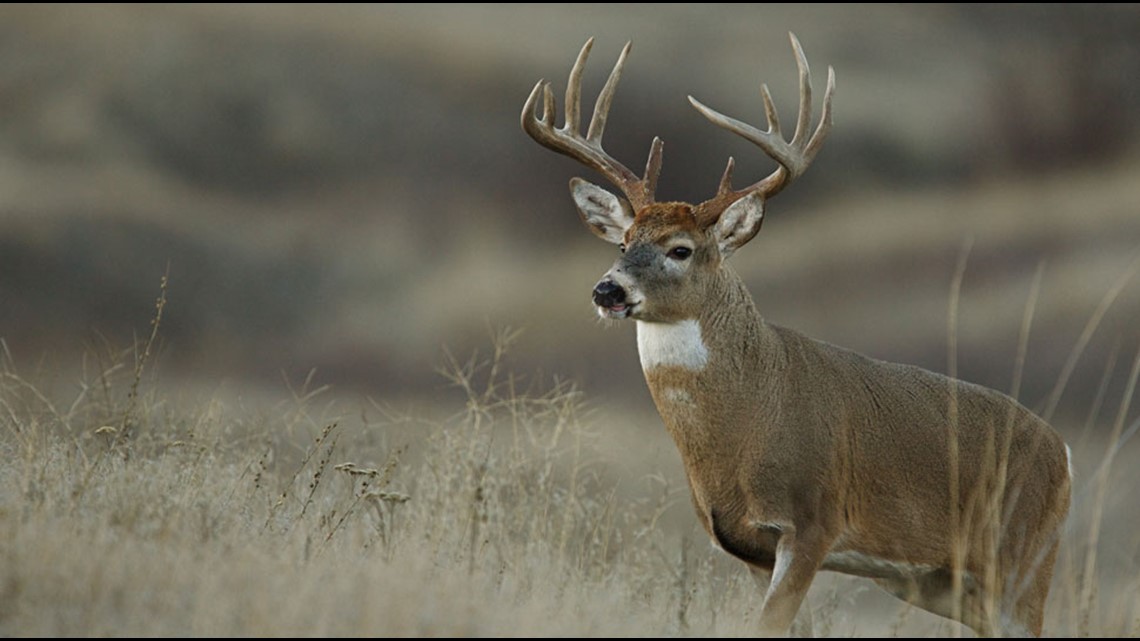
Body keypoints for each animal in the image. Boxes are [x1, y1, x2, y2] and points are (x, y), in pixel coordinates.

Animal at [522, 33, 1071, 634]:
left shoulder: (813, 521)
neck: (750, 419)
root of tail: (1064, 454)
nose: (608, 290)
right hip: (946, 584)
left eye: (680, 249)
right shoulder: (748, 546)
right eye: (623, 243)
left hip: (1022, 560)